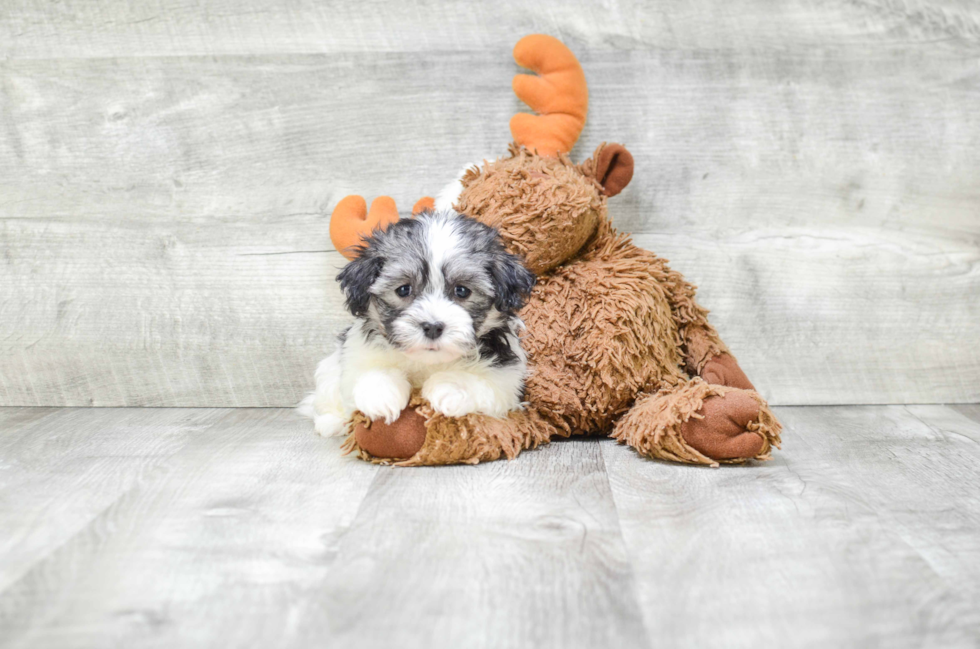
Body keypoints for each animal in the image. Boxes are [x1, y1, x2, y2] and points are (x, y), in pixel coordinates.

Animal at [298, 210, 536, 438]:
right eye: (404, 289)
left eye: (462, 291)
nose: (432, 327)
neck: (427, 362)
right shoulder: (357, 354)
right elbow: (368, 372)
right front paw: (381, 395)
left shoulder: (506, 379)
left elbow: (483, 383)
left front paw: (449, 389)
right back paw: (331, 421)